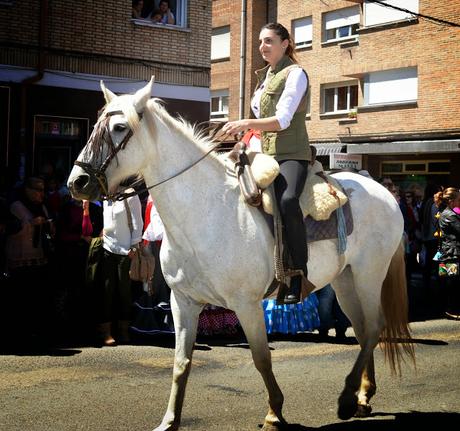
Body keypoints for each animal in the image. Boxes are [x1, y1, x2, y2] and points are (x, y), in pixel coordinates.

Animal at [67, 77, 414, 431]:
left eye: (120, 127)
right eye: (97, 124)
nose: (77, 182)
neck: (205, 212)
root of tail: (385, 193)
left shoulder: (246, 304)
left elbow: (261, 357)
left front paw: (274, 412)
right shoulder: (183, 302)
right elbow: (181, 361)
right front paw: (169, 420)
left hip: (369, 275)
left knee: (374, 326)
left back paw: (346, 399)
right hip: (345, 280)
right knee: (363, 329)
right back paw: (363, 397)